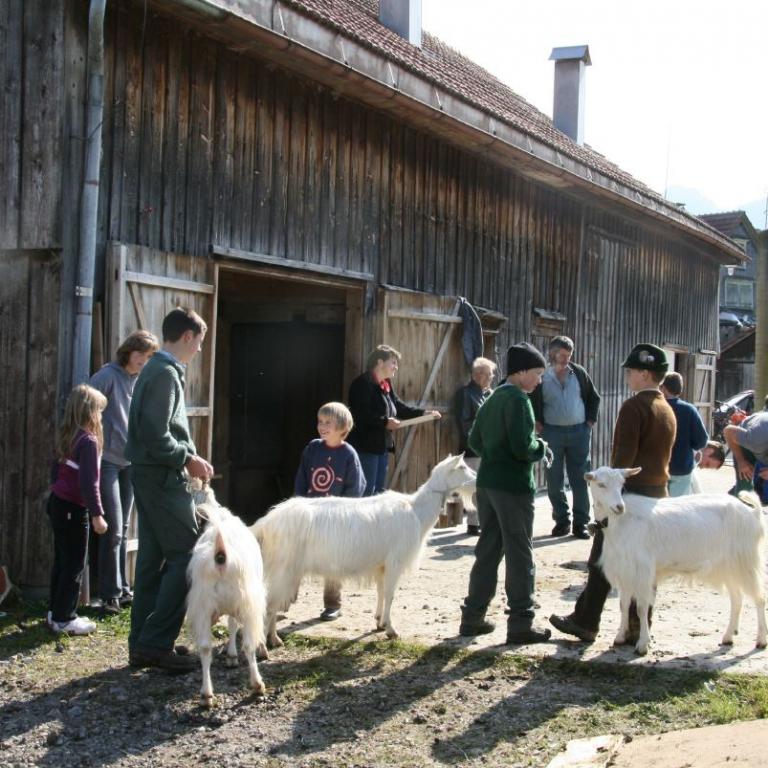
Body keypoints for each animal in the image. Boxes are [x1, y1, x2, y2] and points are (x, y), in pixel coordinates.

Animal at [187, 482, 267, 706]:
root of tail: (220, 556)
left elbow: (229, 625)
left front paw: (230, 657)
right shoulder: (243, 602)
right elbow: (233, 626)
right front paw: (233, 656)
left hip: (203, 605)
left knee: (205, 648)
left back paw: (206, 695)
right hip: (246, 601)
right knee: (248, 644)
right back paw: (257, 685)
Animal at [252, 454, 476, 647]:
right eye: (462, 467)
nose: (476, 480)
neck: (416, 511)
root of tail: (266, 522)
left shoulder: (381, 564)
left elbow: (381, 591)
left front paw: (379, 622)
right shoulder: (395, 560)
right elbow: (390, 593)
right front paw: (391, 630)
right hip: (284, 569)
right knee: (269, 605)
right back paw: (269, 643)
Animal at [586, 466, 768, 656]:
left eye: (622, 484)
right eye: (601, 484)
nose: (619, 507)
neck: (621, 522)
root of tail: (753, 513)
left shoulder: (642, 571)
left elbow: (641, 608)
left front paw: (642, 644)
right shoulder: (624, 571)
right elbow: (624, 604)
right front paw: (620, 637)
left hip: (746, 561)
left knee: (759, 598)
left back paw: (761, 640)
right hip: (728, 566)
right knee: (737, 599)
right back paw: (728, 637)